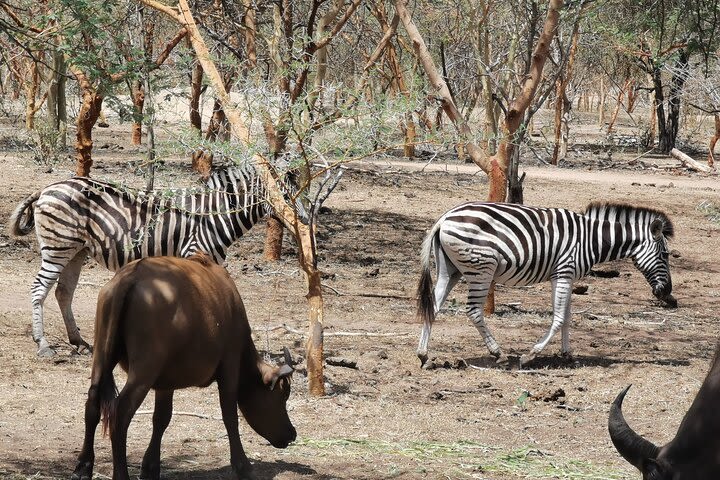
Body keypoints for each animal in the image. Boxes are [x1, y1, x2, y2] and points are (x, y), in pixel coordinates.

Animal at [8, 166, 286, 356]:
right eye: (285, 191)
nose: (298, 218)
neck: (216, 213)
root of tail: (47, 188)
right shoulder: (195, 252)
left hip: (76, 250)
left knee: (63, 292)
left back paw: (79, 342)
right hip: (58, 246)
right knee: (39, 289)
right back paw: (43, 344)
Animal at [71, 251, 296, 480]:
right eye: (283, 396)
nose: (292, 434)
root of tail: (130, 276)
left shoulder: (165, 382)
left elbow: (161, 418)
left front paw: (150, 467)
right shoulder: (230, 364)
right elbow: (230, 415)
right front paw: (243, 465)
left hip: (102, 355)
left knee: (92, 403)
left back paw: (83, 467)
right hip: (144, 369)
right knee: (121, 411)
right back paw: (120, 473)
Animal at [416, 202, 676, 368]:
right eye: (665, 255)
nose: (668, 294)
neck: (591, 239)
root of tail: (444, 217)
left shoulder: (565, 276)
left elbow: (567, 317)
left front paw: (567, 354)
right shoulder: (564, 272)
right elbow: (559, 318)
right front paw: (530, 355)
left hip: (451, 270)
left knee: (433, 307)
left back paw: (424, 355)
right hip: (481, 268)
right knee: (473, 310)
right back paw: (498, 353)